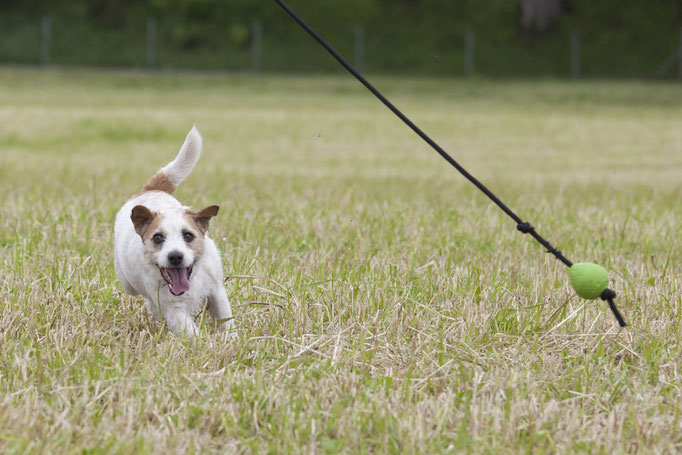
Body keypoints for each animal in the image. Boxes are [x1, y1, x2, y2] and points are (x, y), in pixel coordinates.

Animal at [114, 126, 234, 336]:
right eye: (157, 238)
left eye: (188, 235)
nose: (175, 256)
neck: (192, 279)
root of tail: (149, 190)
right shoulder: (173, 309)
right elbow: (191, 333)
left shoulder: (217, 292)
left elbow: (226, 321)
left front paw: (232, 338)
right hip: (128, 284)